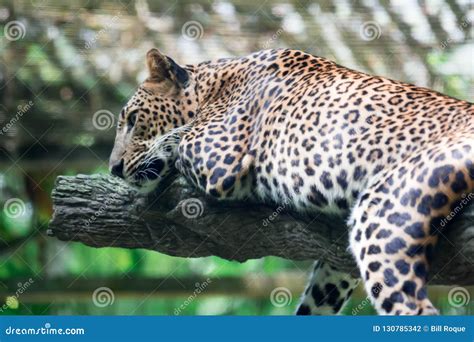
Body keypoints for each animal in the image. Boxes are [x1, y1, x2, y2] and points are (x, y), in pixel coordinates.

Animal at [108, 48, 474, 316]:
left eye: (133, 119)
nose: (113, 168)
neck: (213, 85)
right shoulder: (334, 267)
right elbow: (320, 296)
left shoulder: (219, 158)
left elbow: (179, 140)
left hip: (383, 212)